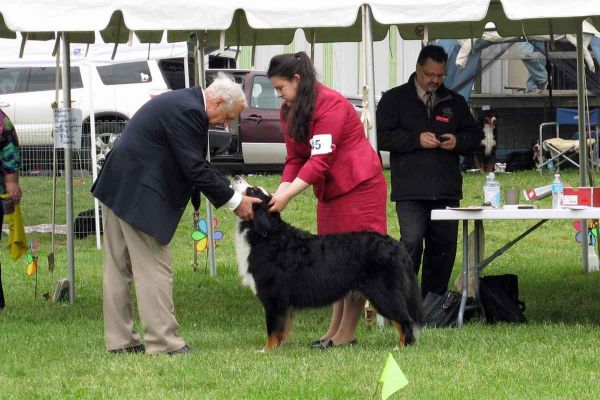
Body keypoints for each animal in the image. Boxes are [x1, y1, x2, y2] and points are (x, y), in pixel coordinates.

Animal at [232, 176, 424, 350]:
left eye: (252, 190)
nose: (235, 176)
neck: (266, 236)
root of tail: (396, 245)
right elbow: (281, 328)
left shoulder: (274, 296)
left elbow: (273, 329)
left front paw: (267, 350)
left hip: (383, 293)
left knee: (404, 319)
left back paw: (402, 346)